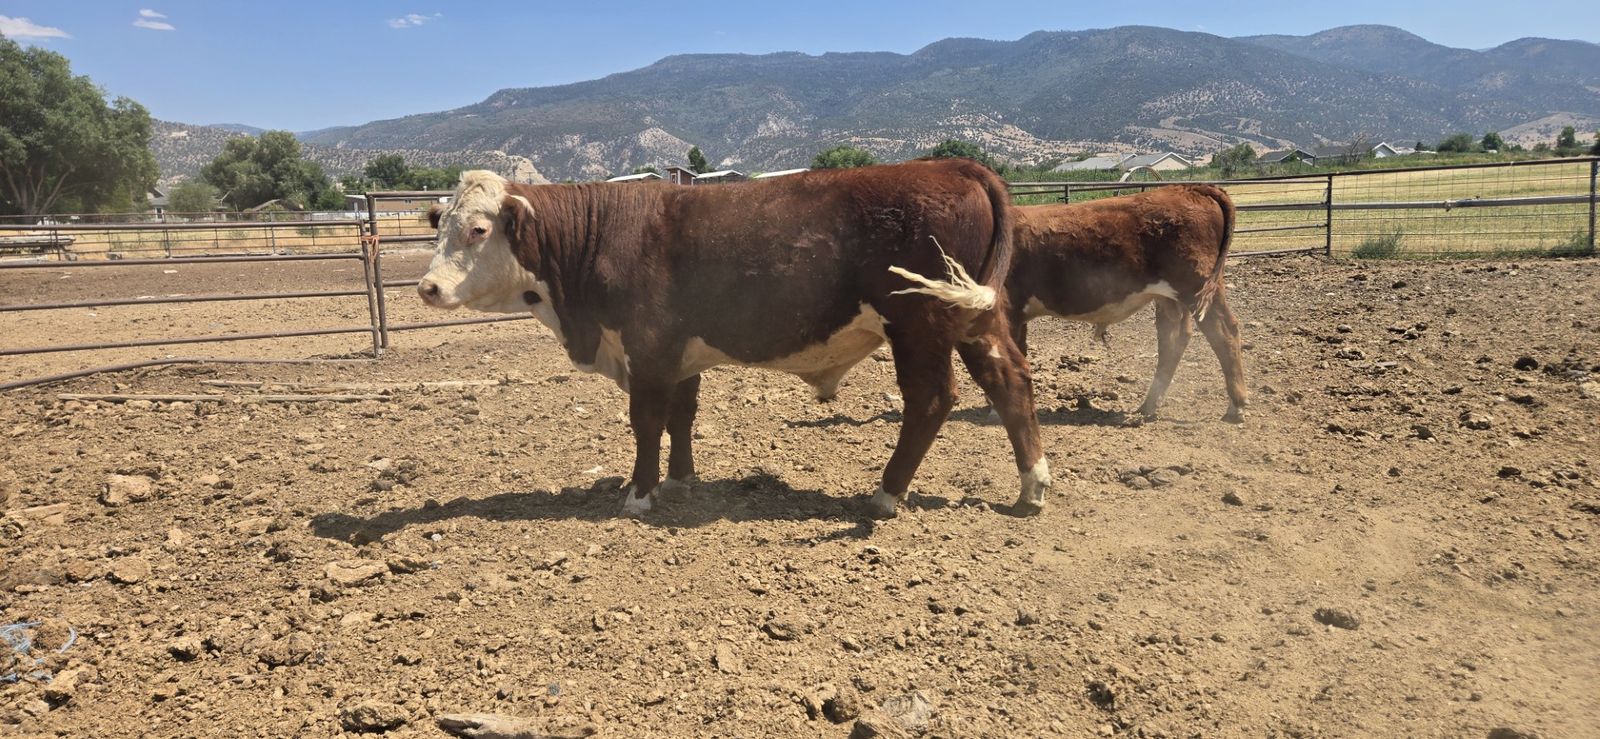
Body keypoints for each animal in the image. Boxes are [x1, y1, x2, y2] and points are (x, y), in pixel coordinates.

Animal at [416, 160, 1051, 518]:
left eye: (478, 230)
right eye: (442, 226)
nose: (427, 286)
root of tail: (956, 165)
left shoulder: (648, 348)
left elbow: (647, 420)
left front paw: (640, 493)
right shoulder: (679, 350)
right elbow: (682, 414)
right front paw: (681, 478)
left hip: (918, 324)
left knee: (930, 400)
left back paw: (886, 494)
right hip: (974, 317)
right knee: (1010, 380)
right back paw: (1032, 486)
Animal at [1007, 185, 1246, 423]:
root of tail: (1190, 188)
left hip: (1197, 288)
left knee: (1224, 333)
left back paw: (1236, 407)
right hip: (1170, 298)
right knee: (1173, 340)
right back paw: (1149, 406)